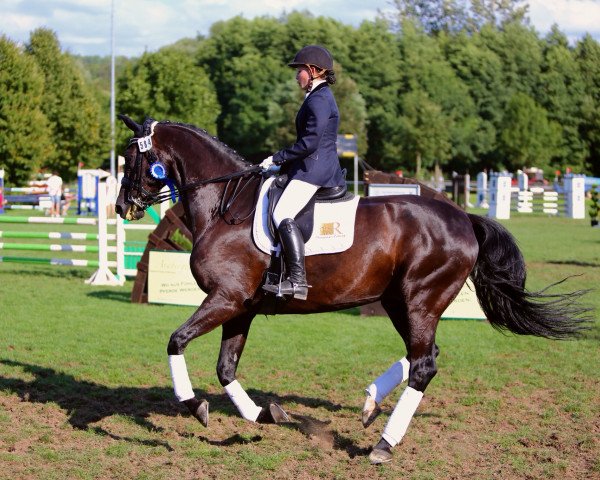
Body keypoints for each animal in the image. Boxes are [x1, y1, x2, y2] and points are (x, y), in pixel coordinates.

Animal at [115, 114, 588, 464]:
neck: (225, 206)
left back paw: (382, 445)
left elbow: (176, 341)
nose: (122, 207)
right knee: (424, 354)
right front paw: (267, 415)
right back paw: (369, 404)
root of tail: (463, 218)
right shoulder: (240, 307)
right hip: (400, 302)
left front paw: (194, 406)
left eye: (130, 158)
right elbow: (226, 369)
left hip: (419, 301)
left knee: (424, 365)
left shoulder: (224, 299)